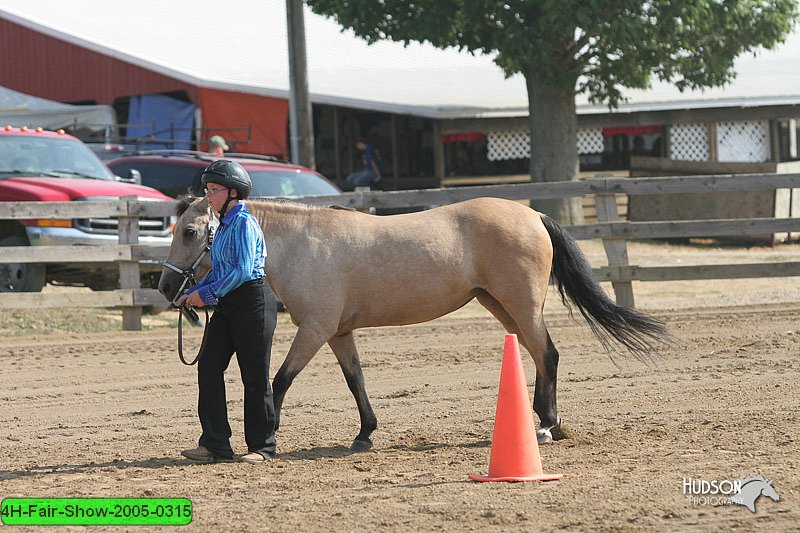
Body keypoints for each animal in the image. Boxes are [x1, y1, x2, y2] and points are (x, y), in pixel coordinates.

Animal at [156, 195, 668, 448]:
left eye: (189, 232)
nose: (165, 287)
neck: (301, 242)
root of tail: (533, 214)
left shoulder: (315, 330)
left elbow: (279, 381)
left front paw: (268, 434)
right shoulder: (338, 332)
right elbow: (356, 380)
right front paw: (365, 433)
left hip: (520, 304)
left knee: (548, 353)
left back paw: (546, 425)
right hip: (500, 305)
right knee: (539, 354)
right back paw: (546, 422)